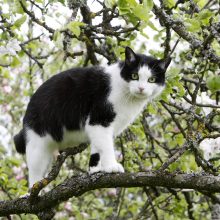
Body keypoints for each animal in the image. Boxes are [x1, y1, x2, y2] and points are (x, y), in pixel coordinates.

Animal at [13, 46, 171, 187]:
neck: (128, 97)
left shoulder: (100, 128)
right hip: (38, 145)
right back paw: (35, 193)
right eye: (134, 76)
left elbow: (97, 147)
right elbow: (106, 146)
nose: (141, 88)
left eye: (152, 79)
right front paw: (111, 167)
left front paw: (95, 170)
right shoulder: (99, 119)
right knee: (35, 174)